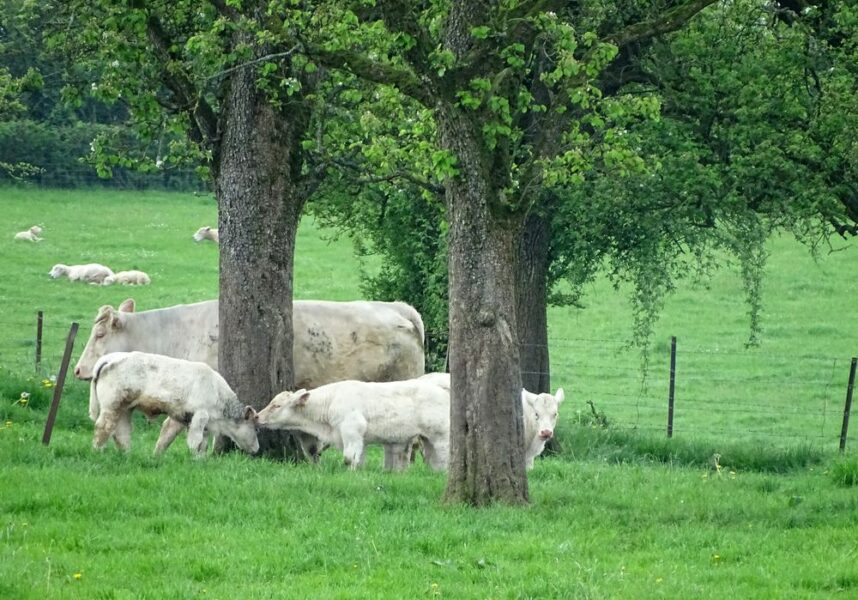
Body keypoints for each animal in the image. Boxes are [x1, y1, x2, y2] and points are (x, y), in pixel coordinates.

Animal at [89, 350, 260, 458]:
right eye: (256, 429)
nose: (257, 448)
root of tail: (111, 357)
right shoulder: (200, 416)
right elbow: (195, 441)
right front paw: (194, 460)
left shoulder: (181, 418)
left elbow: (168, 437)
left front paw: (157, 456)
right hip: (112, 406)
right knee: (103, 427)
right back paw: (98, 451)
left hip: (125, 409)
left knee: (121, 433)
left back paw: (126, 455)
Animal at [252, 380, 448, 474]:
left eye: (277, 405)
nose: (256, 416)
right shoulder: (358, 439)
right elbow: (357, 459)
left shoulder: (351, 430)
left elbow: (348, 458)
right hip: (427, 439)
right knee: (434, 461)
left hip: (441, 437)